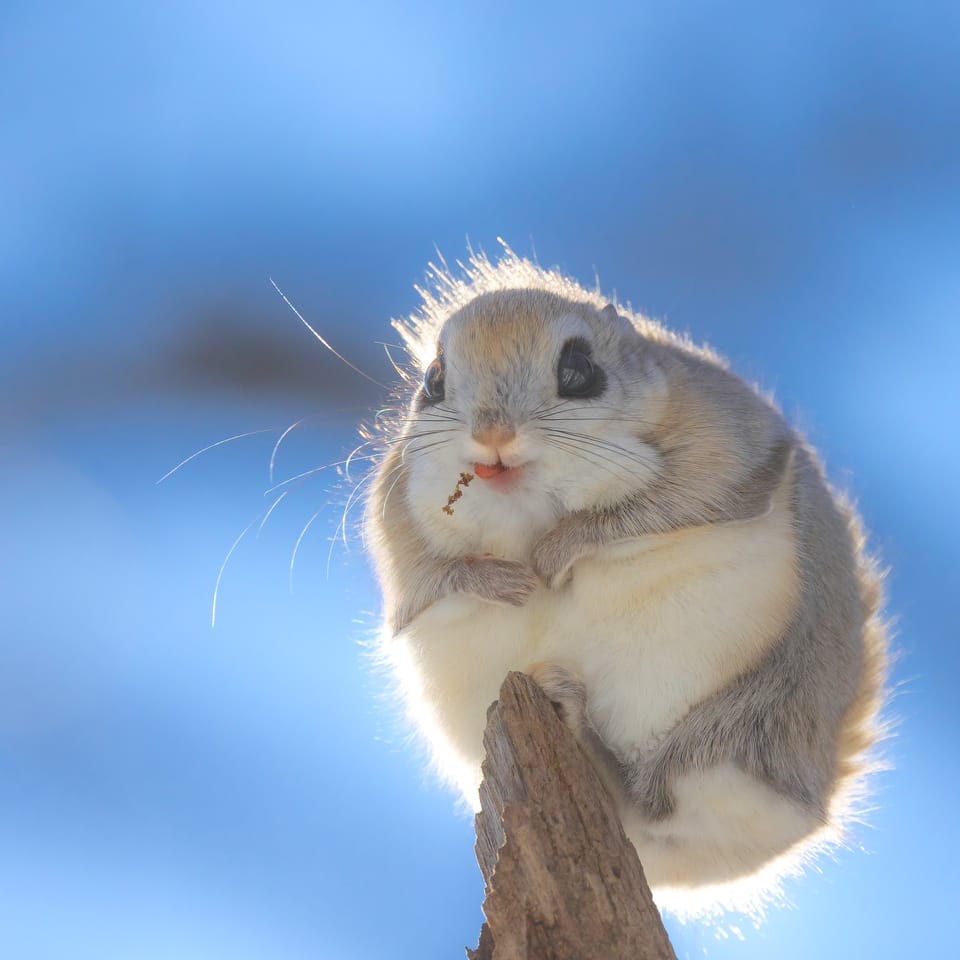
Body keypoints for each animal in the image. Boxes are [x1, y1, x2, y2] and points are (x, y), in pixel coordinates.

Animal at [364, 248, 888, 916]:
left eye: (579, 370)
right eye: (432, 380)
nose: (493, 436)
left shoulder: (727, 447)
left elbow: (663, 507)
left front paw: (561, 550)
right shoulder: (393, 516)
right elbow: (420, 578)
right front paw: (494, 579)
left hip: (739, 731)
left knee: (659, 796)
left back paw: (580, 722)